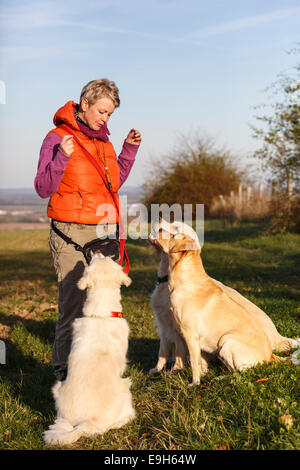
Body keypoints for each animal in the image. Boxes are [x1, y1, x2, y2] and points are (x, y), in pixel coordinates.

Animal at [43, 253, 135, 444]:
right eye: (95, 260)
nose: (98, 251)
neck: (102, 315)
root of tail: (87, 422)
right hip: (125, 386)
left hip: (58, 388)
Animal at [150, 222, 298, 388]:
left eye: (175, 233)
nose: (157, 223)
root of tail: (271, 355)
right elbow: (200, 362)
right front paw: (201, 376)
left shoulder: (189, 334)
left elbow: (193, 361)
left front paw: (194, 383)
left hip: (227, 341)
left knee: (241, 373)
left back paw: (220, 379)